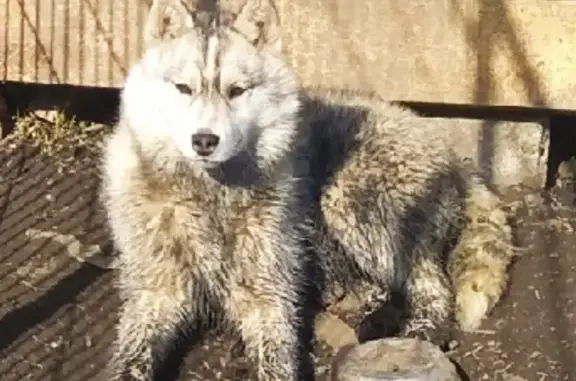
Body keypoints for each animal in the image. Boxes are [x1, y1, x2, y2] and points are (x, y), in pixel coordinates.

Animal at [100, 0, 516, 378]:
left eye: (237, 91)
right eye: (183, 88)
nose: (204, 140)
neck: (211, 191)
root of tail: (446, 148)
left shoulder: (270, 295)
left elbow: (277, 354)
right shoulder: (155, 292)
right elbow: (133, 351)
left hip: (351, 199)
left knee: (430, 285)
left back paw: (417, 327)